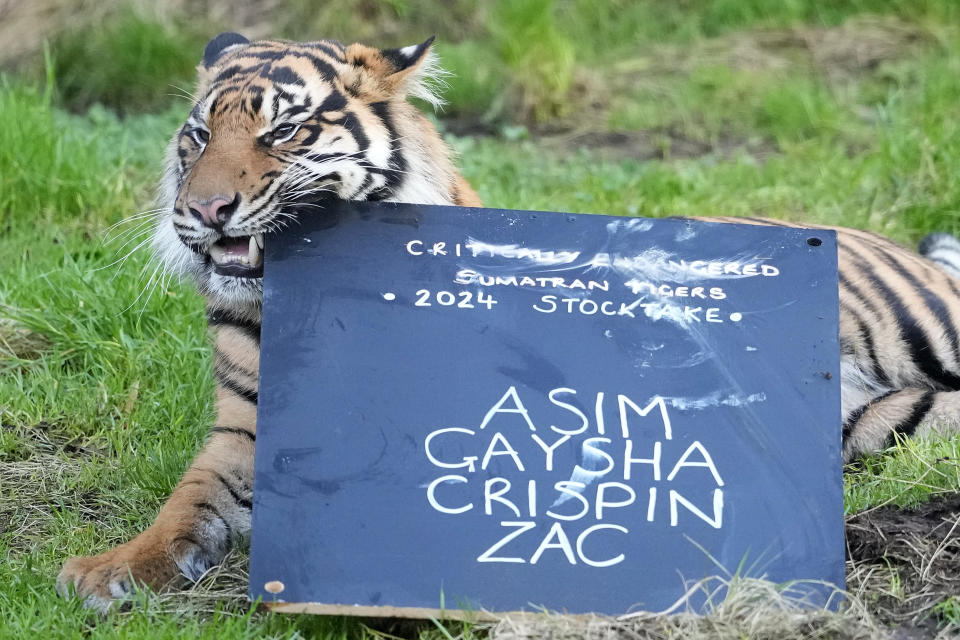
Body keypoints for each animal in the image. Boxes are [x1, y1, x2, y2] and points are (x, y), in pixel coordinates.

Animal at [56, 31, 960, 608]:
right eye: (197, 135)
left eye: (284, 129)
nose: (203, 211)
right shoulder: (243, 433)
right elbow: (183, 506)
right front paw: (108, 572)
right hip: (882, 421)